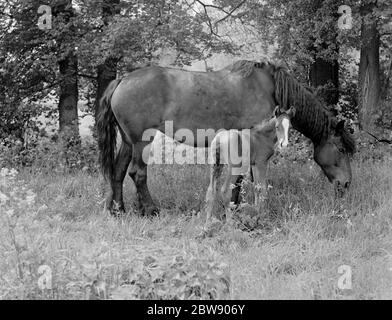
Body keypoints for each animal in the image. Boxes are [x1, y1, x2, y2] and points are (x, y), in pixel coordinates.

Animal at [95, 60, 356, 215]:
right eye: (342, 149)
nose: (346, 184)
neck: (269, 88)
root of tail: (123, 80)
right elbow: (243, 180)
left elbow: (238, 180)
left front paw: (234, 205)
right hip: (141, 141)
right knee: (137, 174)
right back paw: (150, 210)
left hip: (128, 142)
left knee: (118, 172)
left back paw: (118, 209)